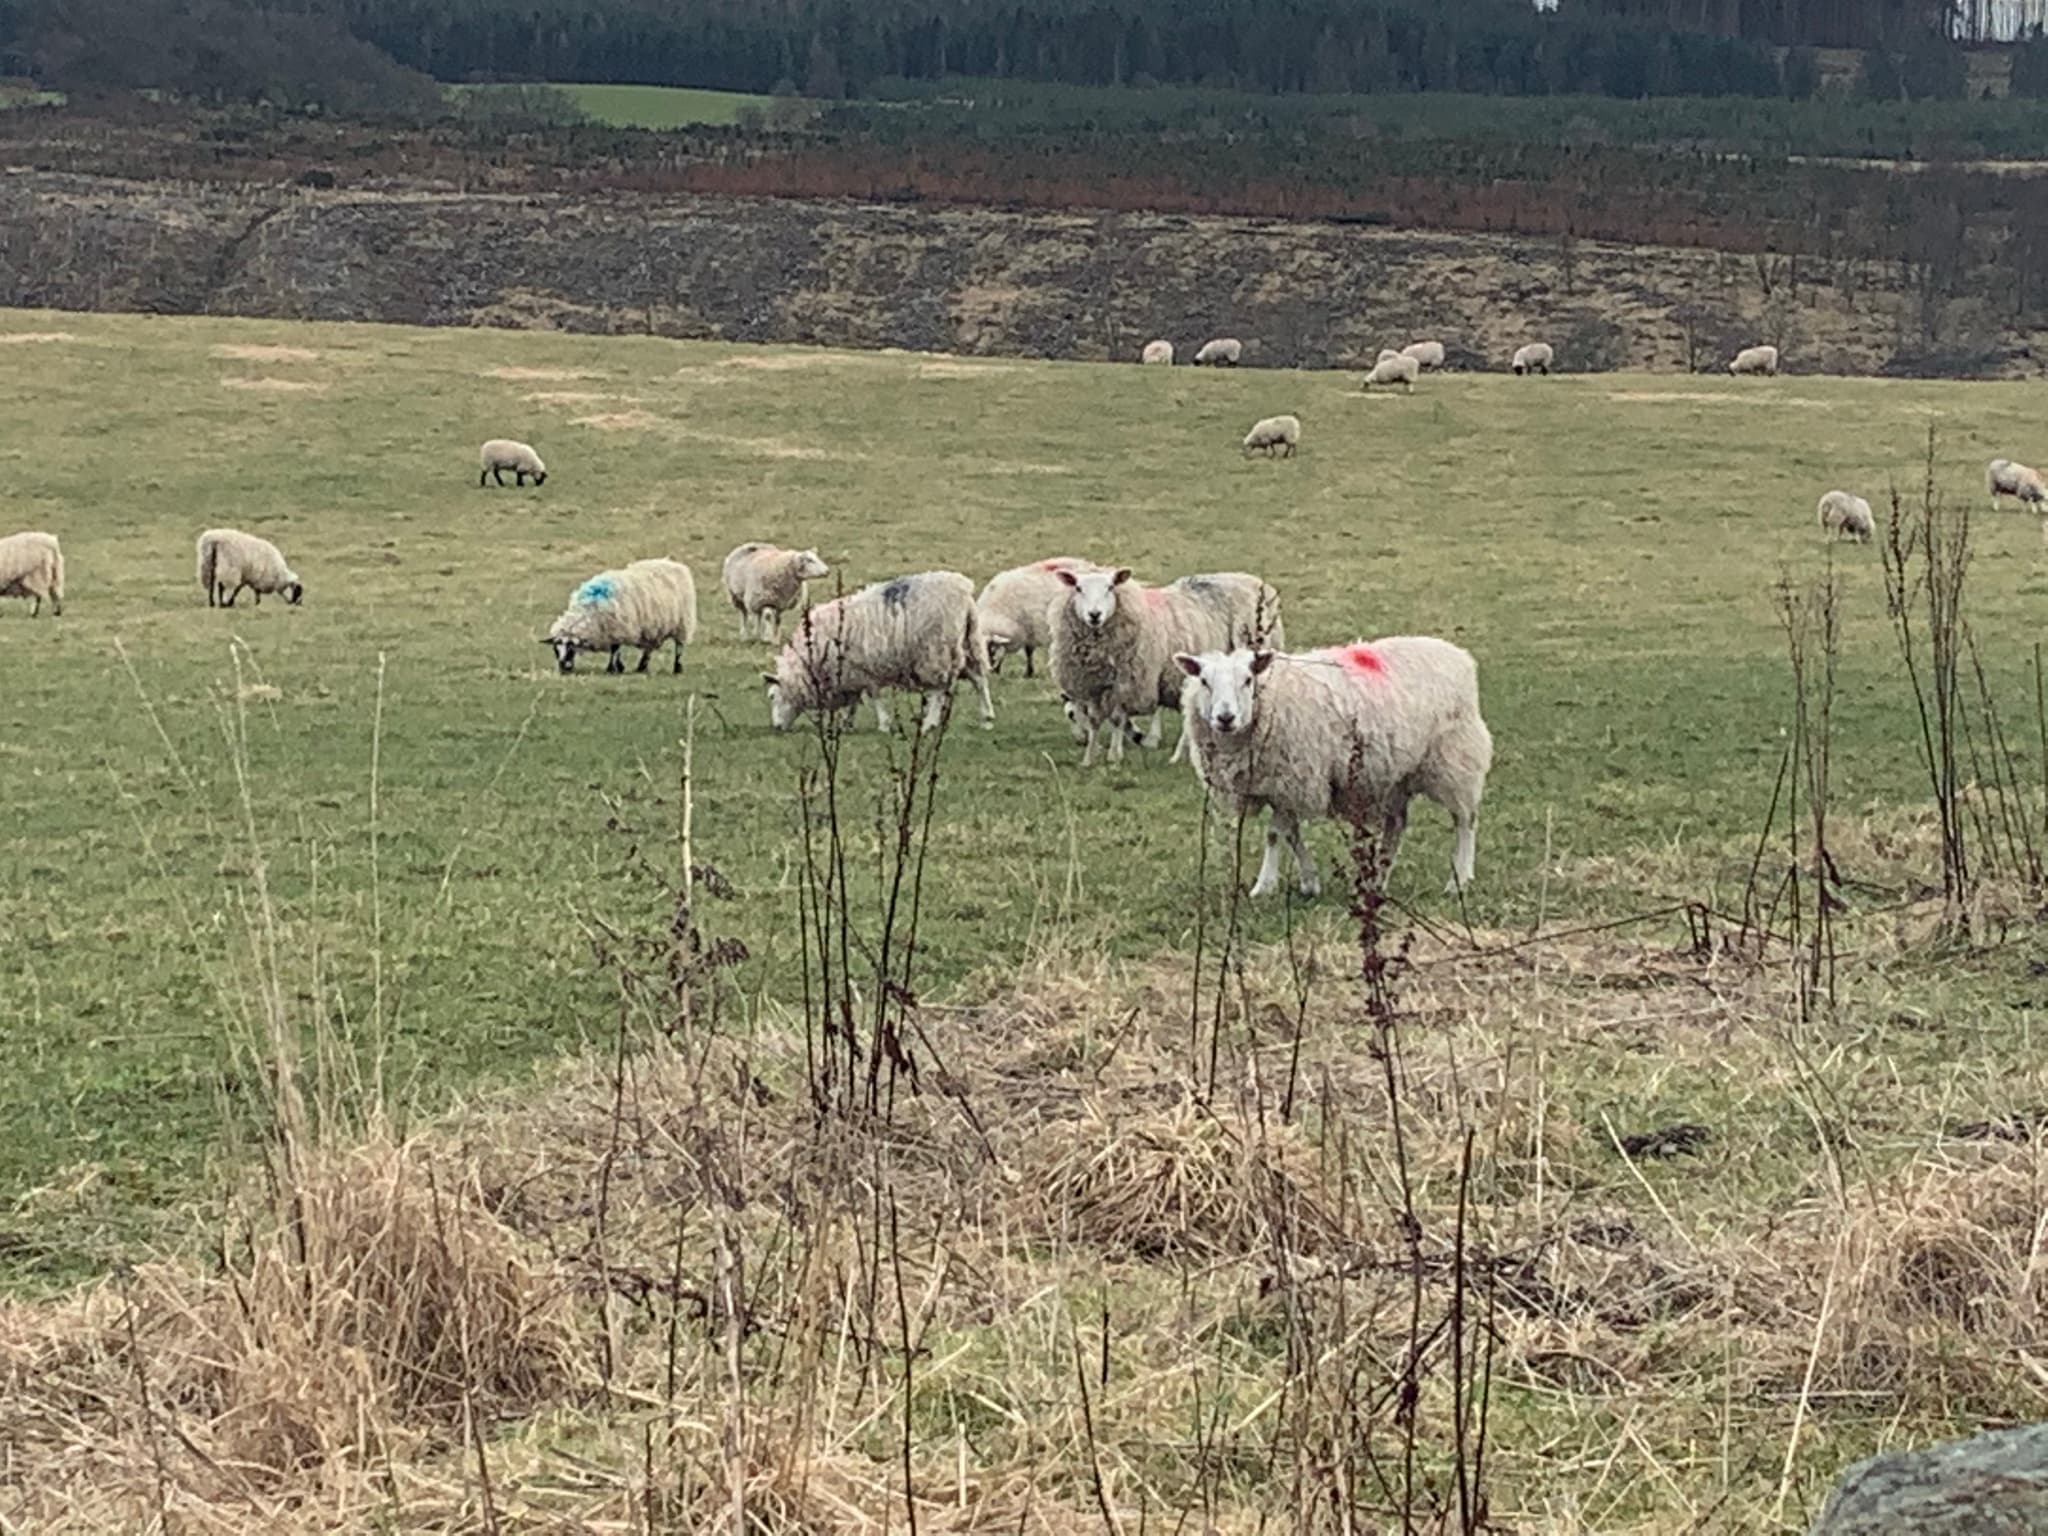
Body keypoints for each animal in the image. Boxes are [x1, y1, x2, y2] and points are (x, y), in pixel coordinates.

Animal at [546, 557, 698, 674]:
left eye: (571, 649)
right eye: (555, 650)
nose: (563, 668)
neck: (590, 609)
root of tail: (674, 564)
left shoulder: (618, 627)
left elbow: (615, 649)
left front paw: (611, 669)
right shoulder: (615, 631)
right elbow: (617, 651)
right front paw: (619, 667)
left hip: (682, 623)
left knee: (679, 646)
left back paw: (677, 668)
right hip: (652, 628)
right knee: (648, 649)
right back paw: (641, 667)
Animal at [765, 570, 993, 734]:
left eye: (772, 696)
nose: (776, 727)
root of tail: (964, 591)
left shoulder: (863, 669)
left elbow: (874, 697)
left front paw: (883, 724)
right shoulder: (850, 674)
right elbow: (854, 701)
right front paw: (847, 724)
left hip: (936, 650)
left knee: (939, 689)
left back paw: (929, 723)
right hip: (969, 644)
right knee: (979, 680)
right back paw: (987, 718)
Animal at [1049, 567, 1286, 768]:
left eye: (1110, 587)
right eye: (1078, 588)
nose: (1094, 615)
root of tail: (1254, 581)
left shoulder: (1126, 683)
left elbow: (1117, 719)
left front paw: (1115, 755)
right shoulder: (1092, 686)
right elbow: (1094, 721)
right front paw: (1089, 757)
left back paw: (1180, 755)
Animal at [1174, 638, 1492, 899]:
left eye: (1248, 679)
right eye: (1204, 681)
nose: (1225, 718)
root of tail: (1457, 654)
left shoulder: (1292, 780)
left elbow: (1275, 835)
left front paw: (1264, 886)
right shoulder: (1279, 786)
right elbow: (1290, 834)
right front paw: (1309, 882)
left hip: (1455, 759)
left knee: (1465, 821)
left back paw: (1460, 880)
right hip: (1395, 774)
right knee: (1396, 825)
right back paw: (1378, 881)